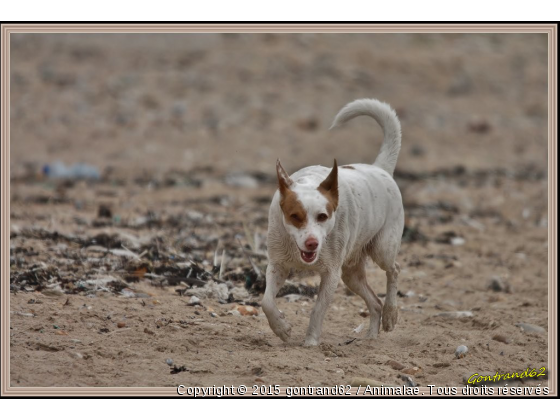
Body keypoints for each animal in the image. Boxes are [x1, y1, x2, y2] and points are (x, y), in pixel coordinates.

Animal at [262, 99, 402, 348]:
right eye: (295, 216)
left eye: (323, 216)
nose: (312, 244)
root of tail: (380, 168)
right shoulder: (277, 266)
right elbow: (266, 302)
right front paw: (282, 329)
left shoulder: (331, 274)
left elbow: (317, 310)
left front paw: (310, 343)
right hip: (351, 274)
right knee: (374, 302)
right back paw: (371, 337)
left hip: (382, 249)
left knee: (393, 271)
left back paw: (390, 315)